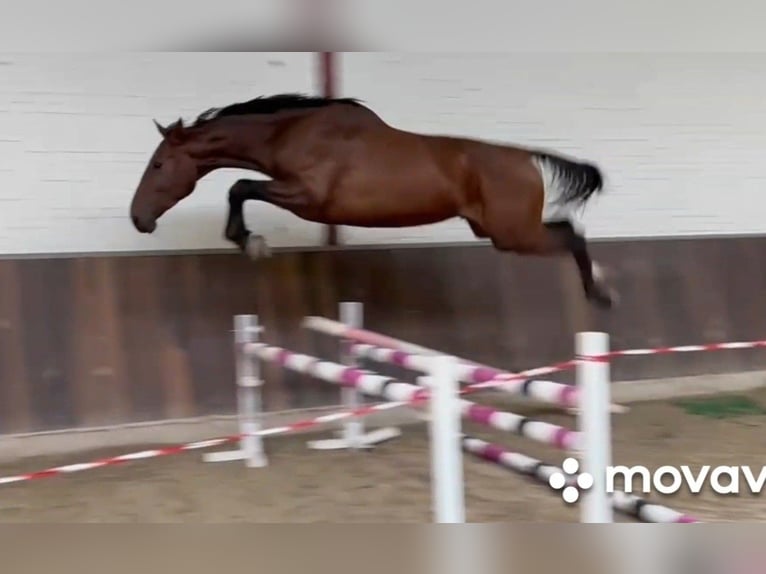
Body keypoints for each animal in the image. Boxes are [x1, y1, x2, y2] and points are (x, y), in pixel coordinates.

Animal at [127, 94, 616, 310]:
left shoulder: (309, 197)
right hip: (499, 231)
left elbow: (241, 187)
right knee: (568, 230)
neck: (293, 132)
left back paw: (600, 294)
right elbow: (242, 187)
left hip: (512, 233)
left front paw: (250, 242)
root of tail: (526, 158)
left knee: (572, 235)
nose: (138, 219)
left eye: (158, 164)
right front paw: (248, 240)